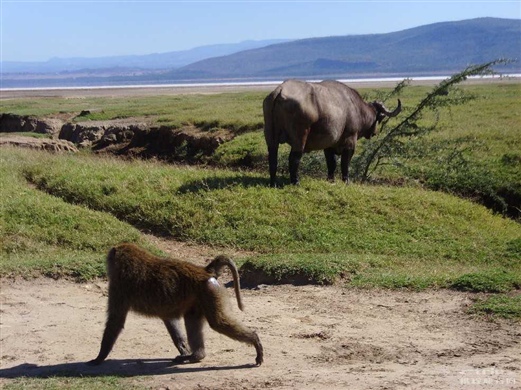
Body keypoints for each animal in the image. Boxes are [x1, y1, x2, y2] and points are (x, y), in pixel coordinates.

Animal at [264, 79, 402, 186]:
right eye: (380, 118)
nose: (374, 132)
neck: (357, 108)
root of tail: (280, 90)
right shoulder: (350, 142)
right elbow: (345, 164)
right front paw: (346, 181)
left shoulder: (329, 145)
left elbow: (332, 163)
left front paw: (330, 179)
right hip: (300, 137)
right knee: (294, 158)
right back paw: (295, 182)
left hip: (270, 137)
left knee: (272, 158)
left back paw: (273, 182)